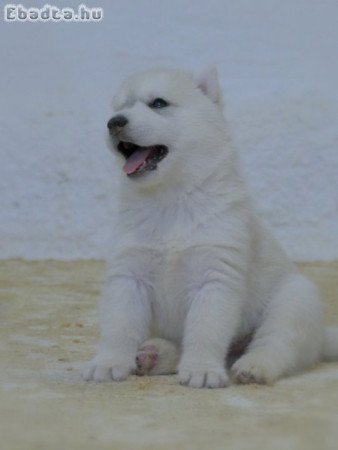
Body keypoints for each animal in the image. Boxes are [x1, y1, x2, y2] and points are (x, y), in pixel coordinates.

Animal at [84, 67, 338, 386]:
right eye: (120, 107)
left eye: (158, 103)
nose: (114, 123)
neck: (171, 199)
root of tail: (322, 339)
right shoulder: (129, 274)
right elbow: (119, 324)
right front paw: (108, 363)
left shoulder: (215, 276)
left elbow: (205, 329)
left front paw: (202, 370)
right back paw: (154, 355)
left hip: (295, 298)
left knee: (276, 342)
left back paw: (253, 366)